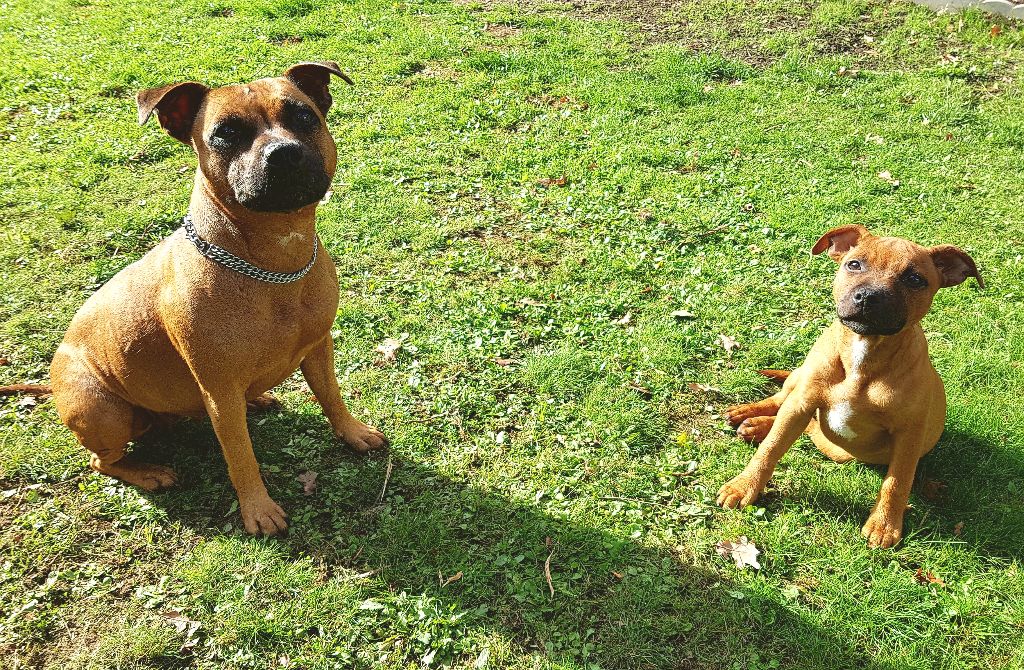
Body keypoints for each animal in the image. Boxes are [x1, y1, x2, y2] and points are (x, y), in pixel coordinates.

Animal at [37, 63, 387, 536]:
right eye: (226, 133)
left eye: (303, 117)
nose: (283, 153)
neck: (273, 261)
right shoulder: (219, 392)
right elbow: (241, 457)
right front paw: (258, 509)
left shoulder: (319, 347)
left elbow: (331, 396)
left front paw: (353, 433)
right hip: (102, 411)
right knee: (101, 461)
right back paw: (150, 472)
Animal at [716, 227, 978, 553]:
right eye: (854, 264)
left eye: (915, 279)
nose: (869, 296)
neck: (863, 354)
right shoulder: (802, 402)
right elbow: (771, 448)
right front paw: (744, 486)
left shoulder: (909, 434)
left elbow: (896, 482)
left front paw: (884, 525)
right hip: (799, 380)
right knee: (782, 401)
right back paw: (748, 414)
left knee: (810, 428)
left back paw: (755, 425)